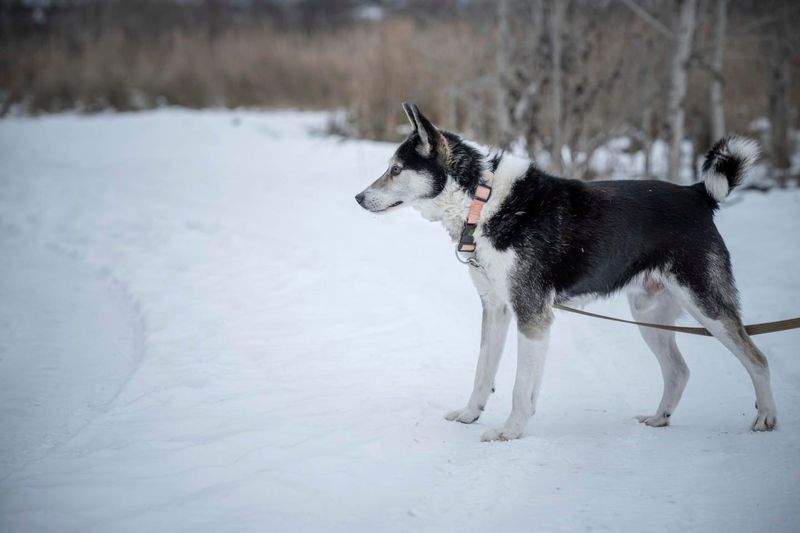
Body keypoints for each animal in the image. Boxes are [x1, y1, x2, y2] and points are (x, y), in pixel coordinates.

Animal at [355, 102, 777, 442]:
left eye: (395, 170)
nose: (358, 197)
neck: (482, 200)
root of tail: (696, 193)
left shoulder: (531, 315)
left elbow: (520, 387)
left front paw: (510, 432)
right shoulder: (496, 308)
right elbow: (483, 374)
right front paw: (471, 414)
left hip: (706, 306)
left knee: (757, 359)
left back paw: (766, 418)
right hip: (649, 315)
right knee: (678, 371)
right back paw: (660, 418)